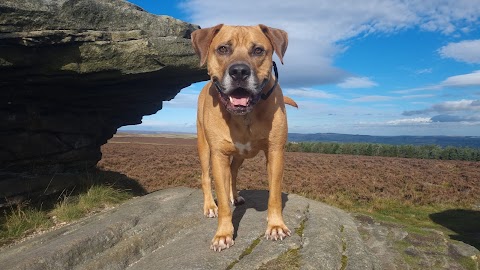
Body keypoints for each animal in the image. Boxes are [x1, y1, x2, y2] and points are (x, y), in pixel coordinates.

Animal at [191, 24, 296, 252]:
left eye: (258, 50)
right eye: (223, 49)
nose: (239, 71)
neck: (245, 114)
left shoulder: (275, 152)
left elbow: (274, 194)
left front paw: (276, 225)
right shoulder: (219, 156)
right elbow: (222, 198)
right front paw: (223, 234)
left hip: (240, 155)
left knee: (233, 172)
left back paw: (235, 195)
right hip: (204, 147)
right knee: (205, 176)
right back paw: (209, 206)